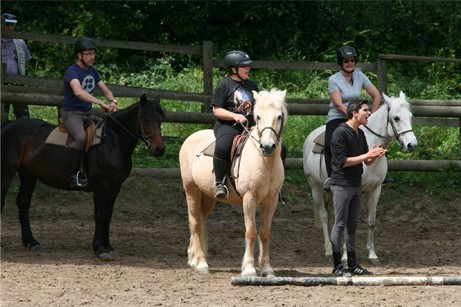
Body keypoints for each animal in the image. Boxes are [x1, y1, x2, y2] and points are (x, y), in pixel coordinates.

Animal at [0, 94, 166, 260]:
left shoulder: (115, 186)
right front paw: (99, 248)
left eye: (161, 119)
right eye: (146, 119)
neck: (111, 142)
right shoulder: (101, 186)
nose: (159, 149)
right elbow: (100, 214)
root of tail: (8, 125)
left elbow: (108, 215)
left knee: (23, 203)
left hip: (28, 175)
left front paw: (108, 246)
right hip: (7, 173)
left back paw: (31, 242)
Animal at [178, 88, 286, 276]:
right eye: (258, 117)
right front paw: (249, 269)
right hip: (191, 190)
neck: (264, 162)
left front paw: (266, 269)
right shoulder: (249, 199)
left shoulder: (271, 200)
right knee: (195, 223)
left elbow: (265, 233)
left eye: (279, 116)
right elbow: (251, 232)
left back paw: (193, 259)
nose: (267, 147)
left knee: (201, 221)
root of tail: (190, 137)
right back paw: (201, 263)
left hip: (208, 197)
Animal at [302, 91, 416, 264]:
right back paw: (328, 250)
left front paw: (372, 254)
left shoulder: (375, 190)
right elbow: (345, 222)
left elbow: (371, 221)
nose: (412, 145)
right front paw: (344, 257)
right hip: (315, 187)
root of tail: (310, 137)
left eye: (410, 116)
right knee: (324, 216)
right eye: (396, 118)